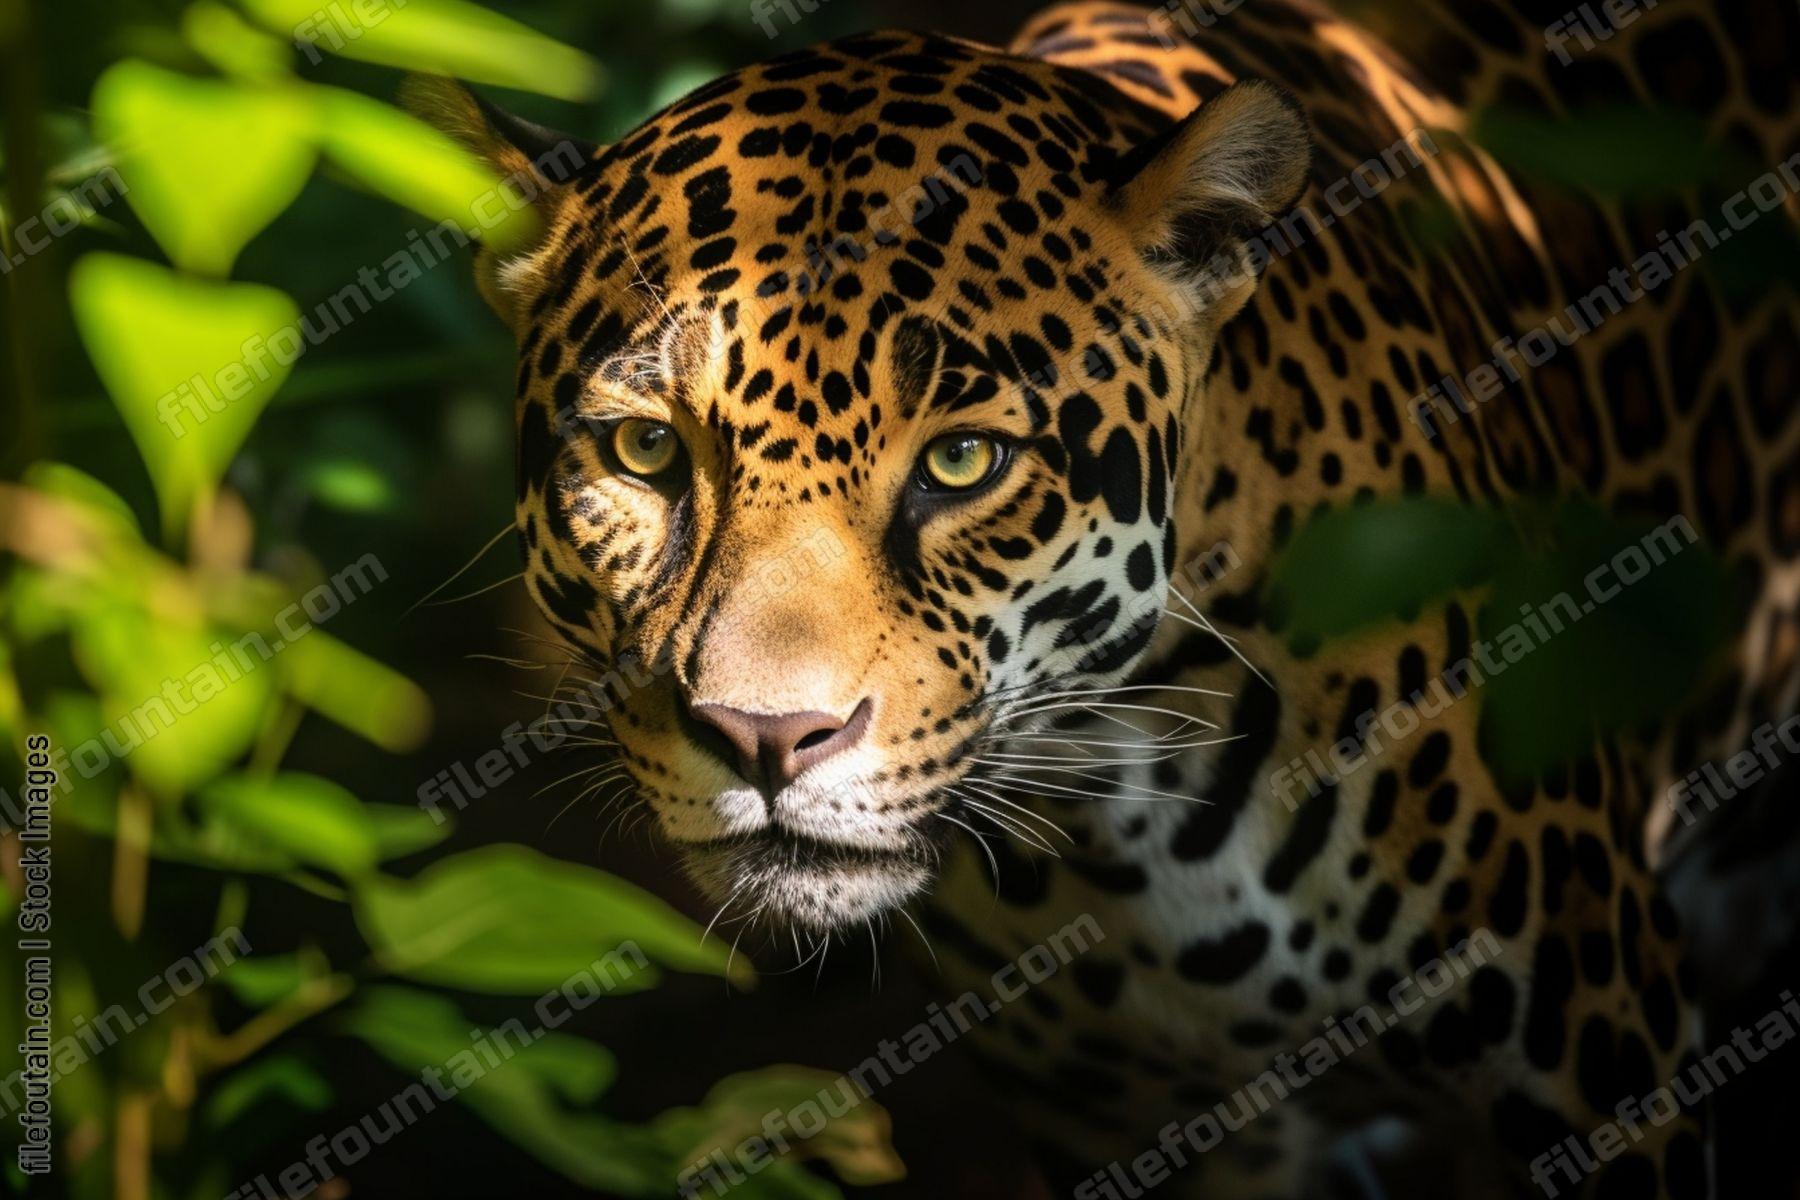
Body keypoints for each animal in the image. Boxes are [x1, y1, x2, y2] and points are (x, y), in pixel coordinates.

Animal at [406, 0, 1800, 1195]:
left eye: (965, 462)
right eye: (646, 451)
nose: (767, 740)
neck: (1126, 811)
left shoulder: (1602, 1067)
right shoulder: (1138, 1131)